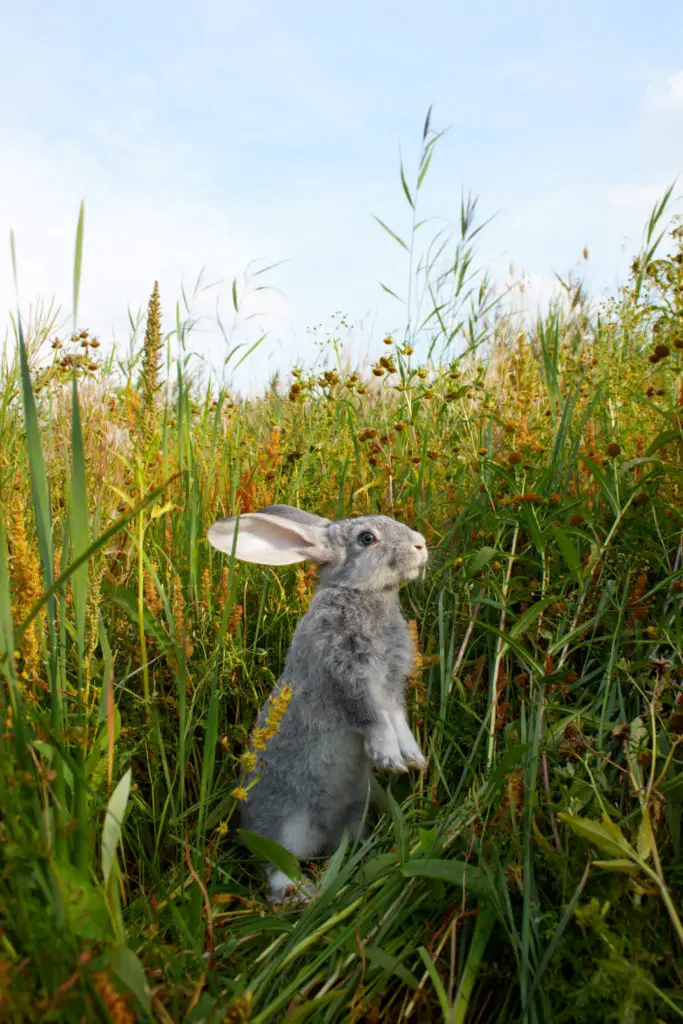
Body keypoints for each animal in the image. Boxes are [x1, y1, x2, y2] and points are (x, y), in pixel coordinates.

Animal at [206, 505, 428, 905]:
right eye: (367, 539)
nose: (420, 544)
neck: (362, 595)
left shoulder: (392, 689)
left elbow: (398, 721)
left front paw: (414, 759)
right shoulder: (349, 678)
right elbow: (373, 718)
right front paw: (389, 759)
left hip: (355, 811)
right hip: (282, 825)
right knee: (273, 865)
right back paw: (299, 892)